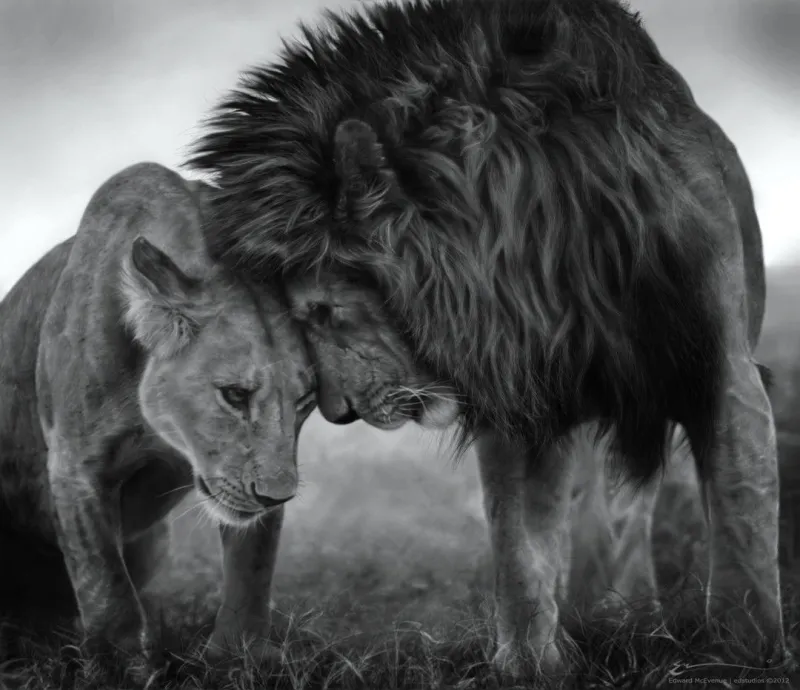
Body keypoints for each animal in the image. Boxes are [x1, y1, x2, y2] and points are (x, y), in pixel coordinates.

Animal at [0, 162, 314, 668]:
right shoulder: (74, 466)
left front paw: (238, 657)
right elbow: (105, 584)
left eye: (305, 402)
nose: (277, 496)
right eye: (234, 394)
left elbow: (252, 568)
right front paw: (119, 666)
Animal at [187, 0, 783, 676]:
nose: (338, 414)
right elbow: (519, 543)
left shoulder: (723, 370)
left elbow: (740, 520)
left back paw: (626, 613)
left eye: (320, 309)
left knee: (630, 508)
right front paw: (528, 663)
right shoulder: (516, 389)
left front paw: (745, 655)